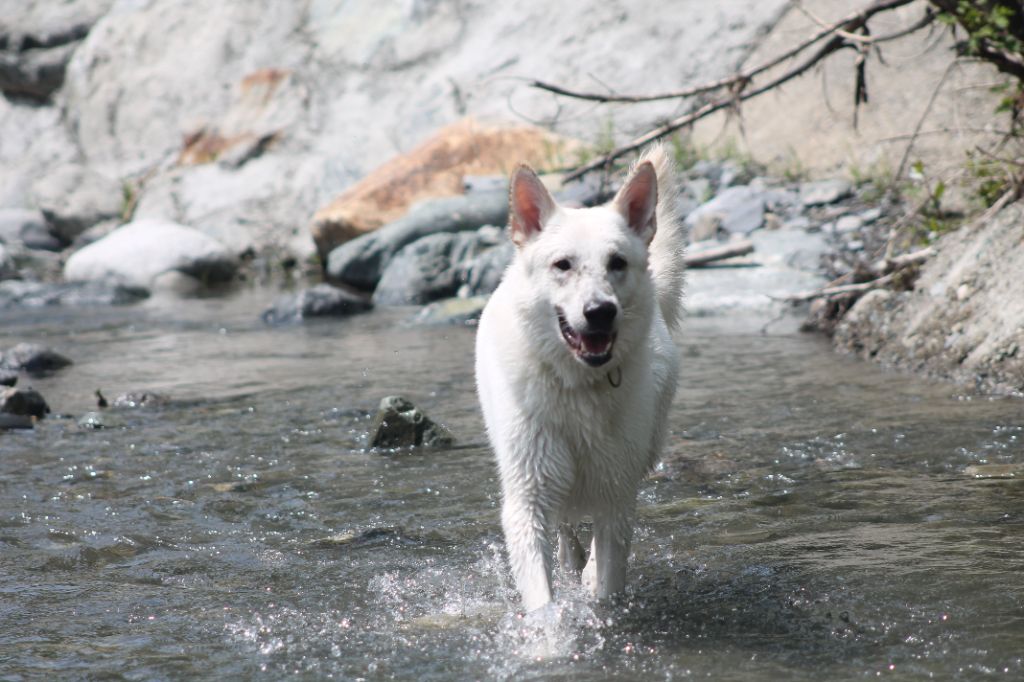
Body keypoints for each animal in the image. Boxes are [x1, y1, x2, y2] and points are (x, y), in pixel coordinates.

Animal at [475, 144, 684, 610]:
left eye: (617, 263)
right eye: (563, 265)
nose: (600, 312)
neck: (577, 387)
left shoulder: (617, 497)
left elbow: (607, 580)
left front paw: (596, 601)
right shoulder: (528, 498)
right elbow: (542, 599)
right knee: (566, 525)